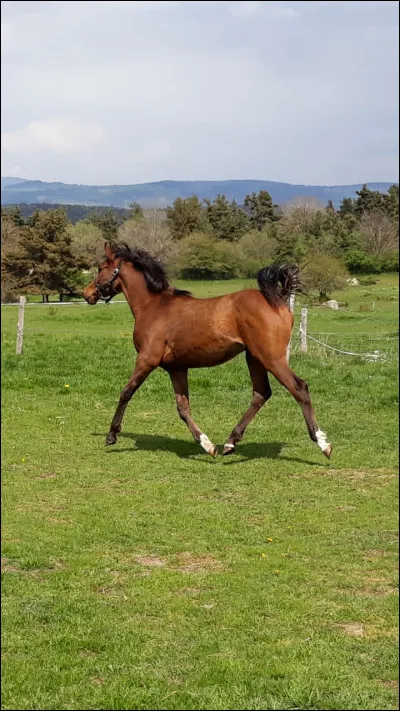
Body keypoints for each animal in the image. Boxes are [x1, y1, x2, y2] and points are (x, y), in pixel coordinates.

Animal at [83, 242, 332, 459]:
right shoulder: (177, 368)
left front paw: (112, 435)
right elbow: (183, 408)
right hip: (254, 358)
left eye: (100, 268)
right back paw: (230, 443)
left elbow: (126, 392)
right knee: (261, 393)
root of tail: (278, 300)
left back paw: (323, 443)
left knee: (299, 388)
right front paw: (208, 445)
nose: (87, 294)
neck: (153, 307)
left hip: (272, 358)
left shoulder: (147, 359)